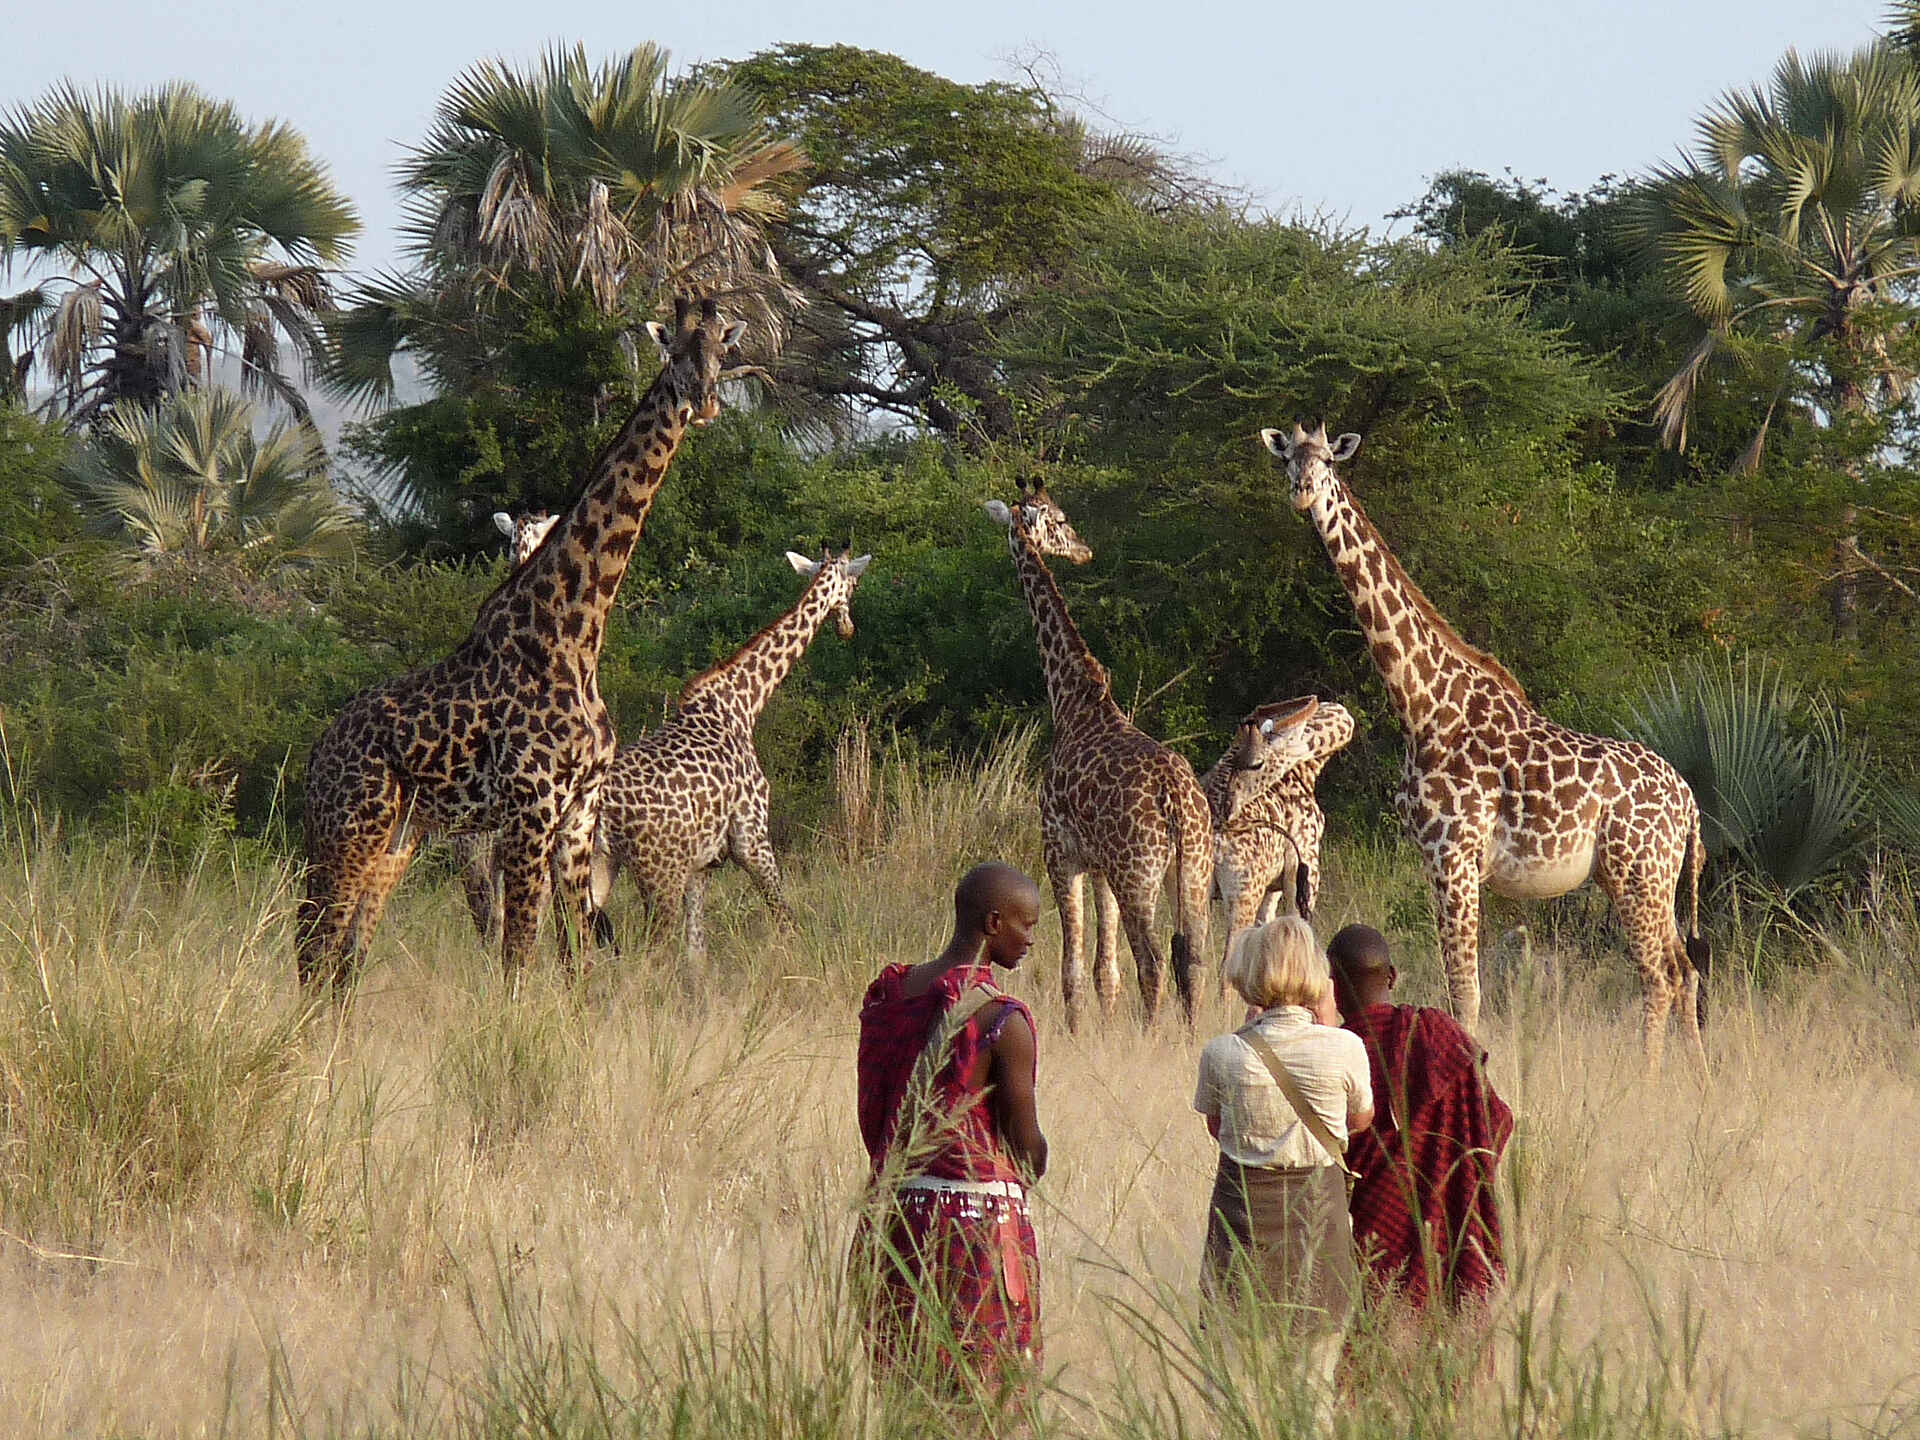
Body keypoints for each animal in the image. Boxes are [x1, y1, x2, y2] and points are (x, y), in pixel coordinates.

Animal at [296, 296, 746, 987]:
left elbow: (577, 957)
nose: (705, 402)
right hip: (349, 827)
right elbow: (518, 956)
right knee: (313, 946)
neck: (575, 635)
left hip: (399, 838)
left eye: (724, 349)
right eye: (673, 352)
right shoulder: (529, 810)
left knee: (346, 955)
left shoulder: (578, 815)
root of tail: (319, 752)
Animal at [591, 548, 872, 963]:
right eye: (854, 585)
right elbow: (784, 915)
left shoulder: (702, 864)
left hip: (594, 864)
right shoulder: (751, 838)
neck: (742, 703)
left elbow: (697, 951)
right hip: (658, 870)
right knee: (649, 950)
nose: (848, 628)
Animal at [984, 480, 1306, 1028]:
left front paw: (1077, 1034)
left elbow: (1075, 968)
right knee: (1193, 958)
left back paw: (1154, 1032)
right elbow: (1104, 972)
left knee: (1154, 960)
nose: (1083, 549)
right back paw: (1185, 1031)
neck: (1072, 699)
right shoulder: (1101, 866)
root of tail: (1176, 801)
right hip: (1190, 872)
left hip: (1140, 874)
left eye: (1060, 518)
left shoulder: (1061, 854)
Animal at [1201, 696, 1355, 979]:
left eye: (1253, 763)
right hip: (1243, 894)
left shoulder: (1272, 890)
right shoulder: (1305, 871)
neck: (1307, 770)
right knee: (1226, 968)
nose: (1223, 806)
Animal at [1260, 422, 1710, 1071]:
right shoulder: (1433, 859)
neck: (1423, 705)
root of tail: (1690, 803)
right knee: (1685, 967)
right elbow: (1459, 986)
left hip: (1638, 873)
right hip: (1644, 877)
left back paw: (1647, 1079)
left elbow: (1464, 991)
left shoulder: (1455, 854)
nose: (1302, 493)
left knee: (1661, 974)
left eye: (1327, 464)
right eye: (1288, 461)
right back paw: (1699, 1077)